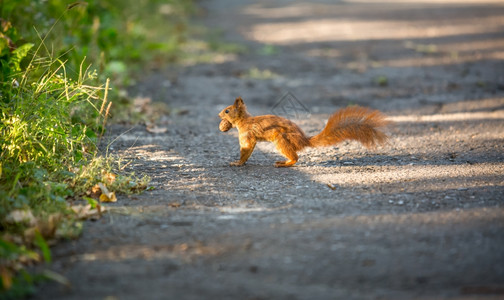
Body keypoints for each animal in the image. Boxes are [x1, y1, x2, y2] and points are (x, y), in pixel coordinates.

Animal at [218, 96, 390, 166]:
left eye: (227, 111)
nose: (219, 115)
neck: (244, 121)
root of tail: (304, 140)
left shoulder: (247, 135)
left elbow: (246, 149)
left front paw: (237, 163)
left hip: (282, 139)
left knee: (296, 157)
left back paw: (285, 163)